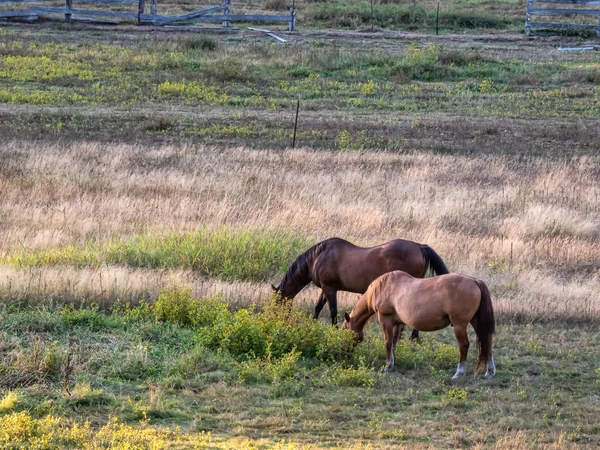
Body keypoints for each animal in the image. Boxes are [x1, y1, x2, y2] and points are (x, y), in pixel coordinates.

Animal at [270, 237, 448, 336]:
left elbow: (332, 311)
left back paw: (412, 336)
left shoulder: (330, 288)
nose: (275, 320)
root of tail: (419, 246)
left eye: (277, 303)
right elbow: (318, 307)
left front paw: (334, 329)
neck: (318, 257)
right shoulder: (325, 289)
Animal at [342, 270, 496, 380]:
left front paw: (388, 366)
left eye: (344, 329)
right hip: (476, 321)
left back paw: (459, 372)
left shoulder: (385, 320)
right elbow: (394, 342)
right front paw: (392, 363)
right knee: (487, 342)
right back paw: (490, 371)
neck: (383, 287)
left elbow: (387, 342)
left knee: (464, 345)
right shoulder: (398, 323)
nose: (344, 354)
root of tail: (474, 281)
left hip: (459, 325)